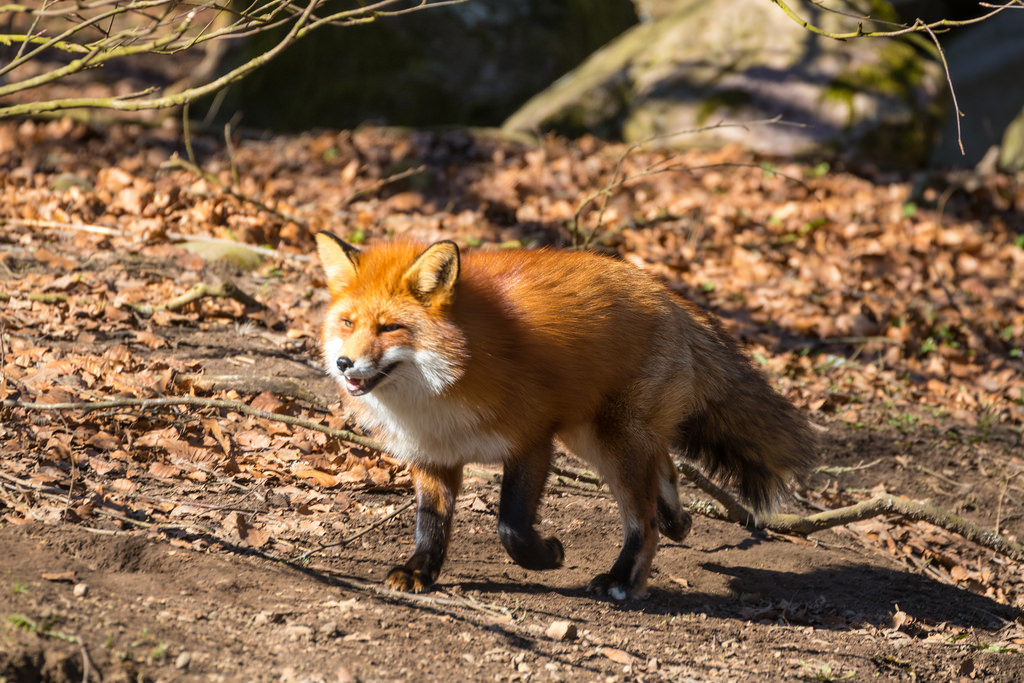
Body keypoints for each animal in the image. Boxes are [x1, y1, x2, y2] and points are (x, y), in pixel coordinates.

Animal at [315, 230, 817, 600]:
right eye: (348, 323)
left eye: (390, 328)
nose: (344, 364)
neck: (439, 391)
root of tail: (666, 293)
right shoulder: (432, 454)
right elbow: (431, 523)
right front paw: (421, 571)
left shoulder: (532, 438)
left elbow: (511, 527)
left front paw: (548, 555)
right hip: (591, 435)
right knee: (666, 471)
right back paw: (678, 521)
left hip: (612, 442)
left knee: (645, 521)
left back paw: (624, 580)